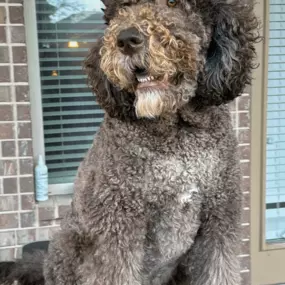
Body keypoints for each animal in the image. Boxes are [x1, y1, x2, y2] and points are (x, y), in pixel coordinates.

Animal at [1, 0, 258, 282]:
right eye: (124, 6)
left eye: (174, 4)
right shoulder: (118, 229)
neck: (176, 134)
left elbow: (217, 269)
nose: (126, 39)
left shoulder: (219, 220)